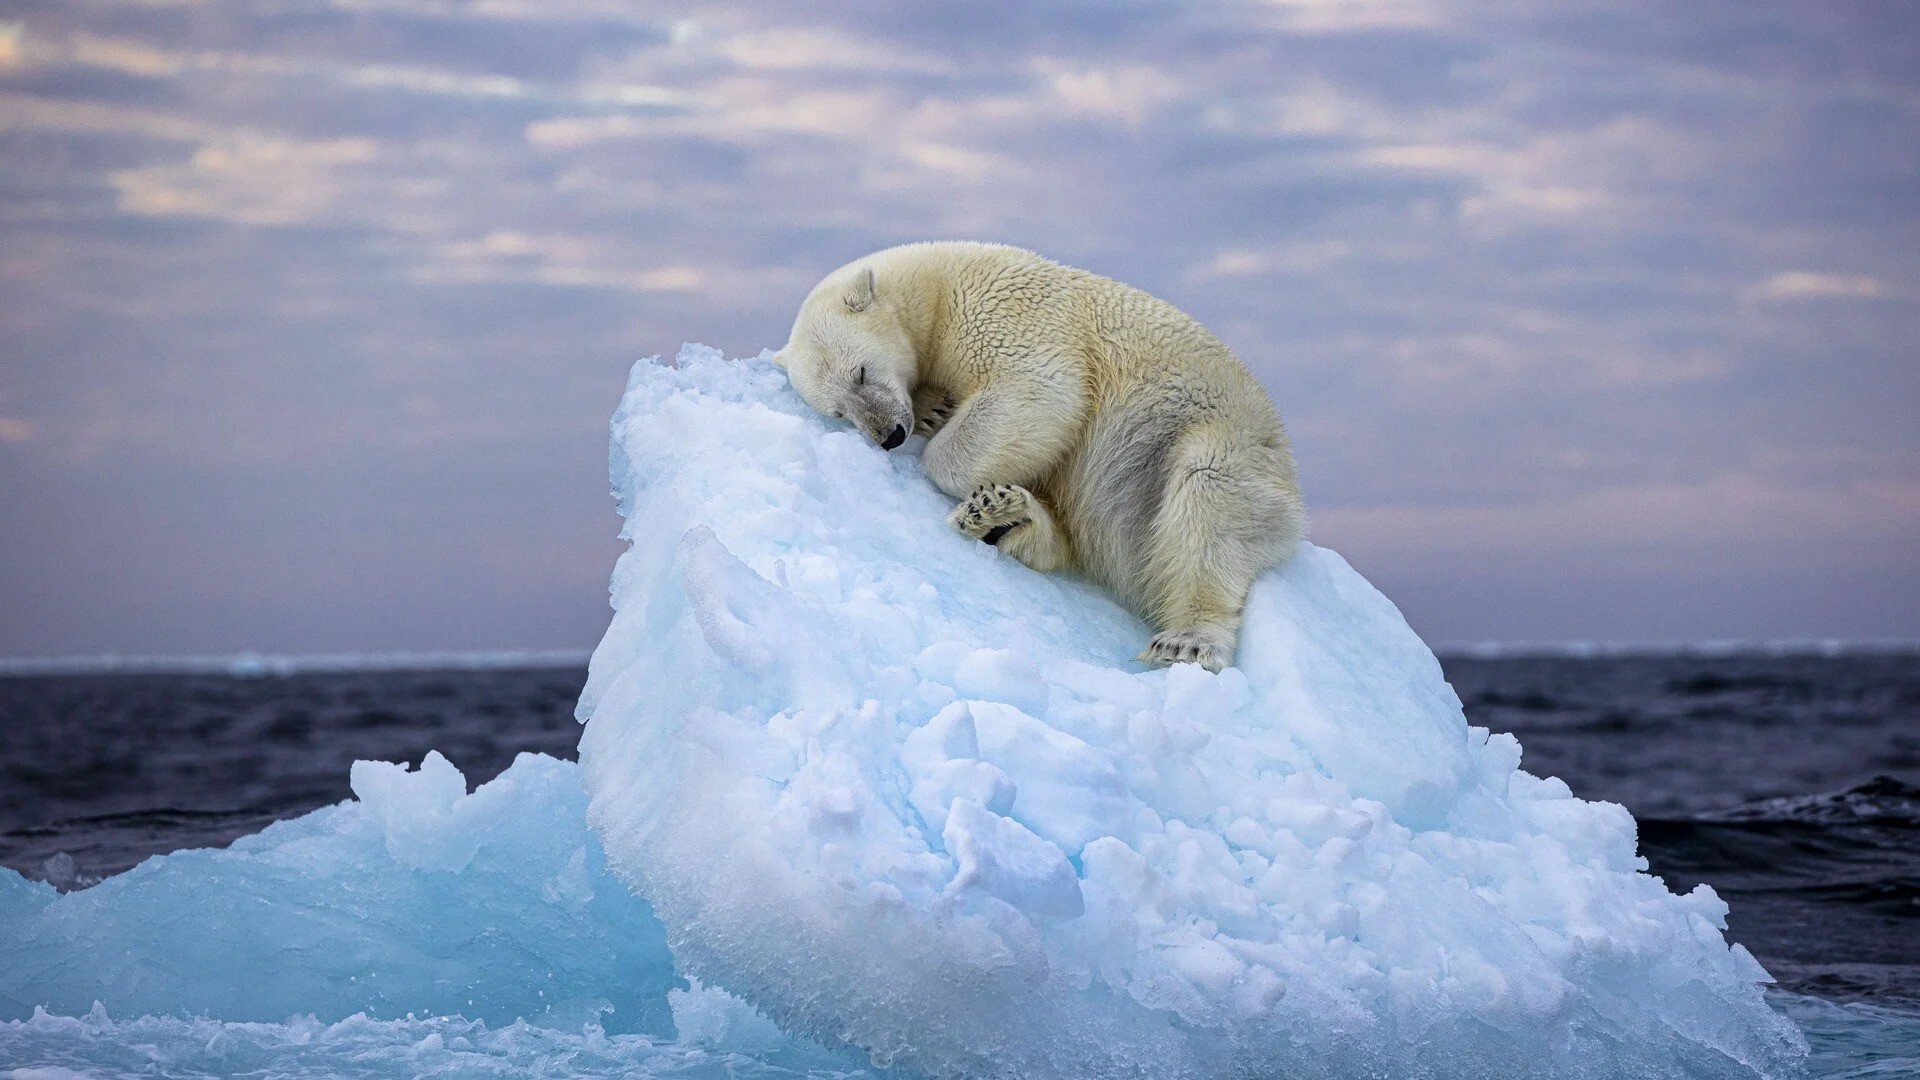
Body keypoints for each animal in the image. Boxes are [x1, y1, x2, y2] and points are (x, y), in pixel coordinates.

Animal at [768, 239, 1305, 668]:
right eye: (838, 412)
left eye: (860, 372)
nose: (889, 435)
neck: (937, 286)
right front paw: (933, 411)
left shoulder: (1006, 313)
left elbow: (1042, 392)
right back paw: (1004, 517)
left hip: (1214, 440)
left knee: (1208, 503)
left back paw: (1187, 640)